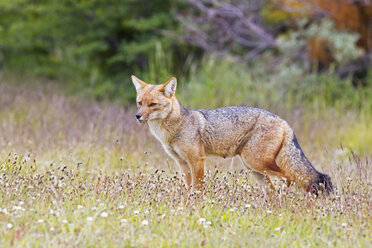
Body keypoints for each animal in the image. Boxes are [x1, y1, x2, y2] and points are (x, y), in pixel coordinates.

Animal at [132, 75, 334, 196]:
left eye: (153, 104)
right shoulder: (183, 164)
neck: (175, 128)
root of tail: (283, 121)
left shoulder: (197, 160)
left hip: (257, 163)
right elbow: (189, 189)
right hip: (254, 168)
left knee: (289, 178)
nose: (138, 116)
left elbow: (198, 189)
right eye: (140, 103)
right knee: (273, 189)